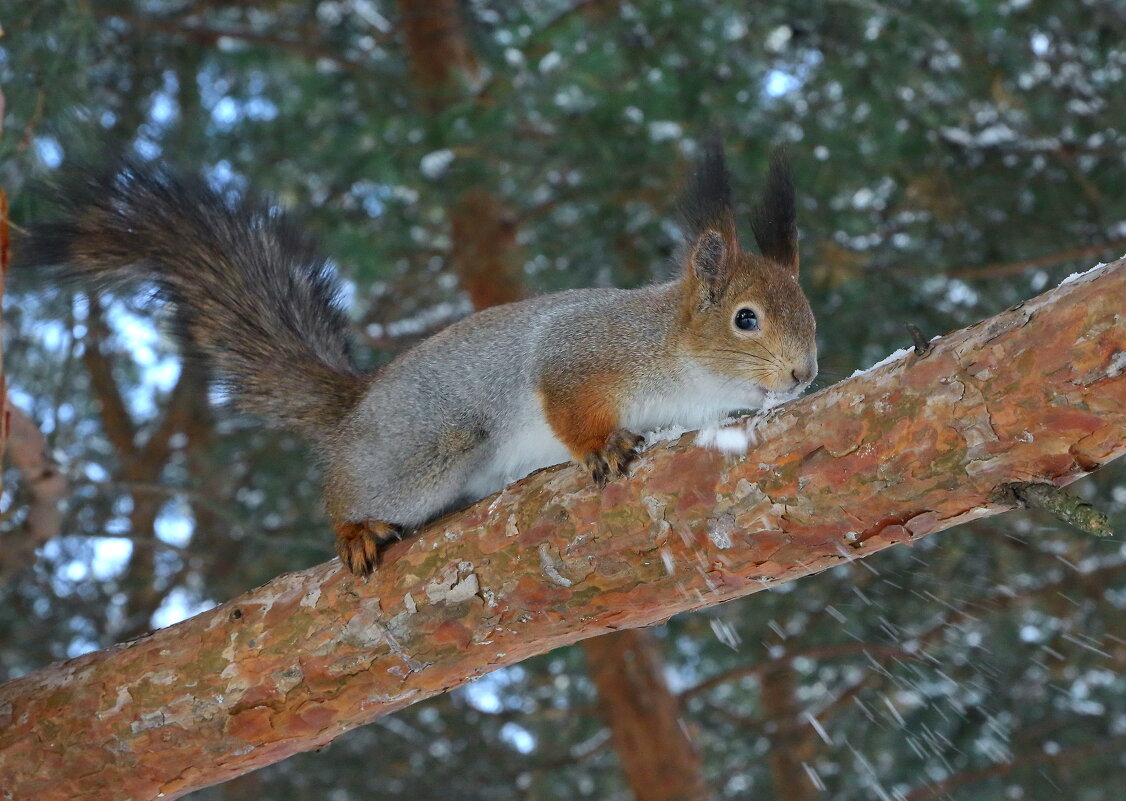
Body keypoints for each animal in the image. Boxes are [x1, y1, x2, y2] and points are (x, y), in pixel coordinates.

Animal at [19, 139, 819, 576]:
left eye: (810, 315)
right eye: (746, 319)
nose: (804, 374)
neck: (680, 356)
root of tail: (356, 405)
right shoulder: (582, 351)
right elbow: (566, 400)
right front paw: (601, 448)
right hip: (425, 448)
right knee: (348, 494)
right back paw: (355, 529)